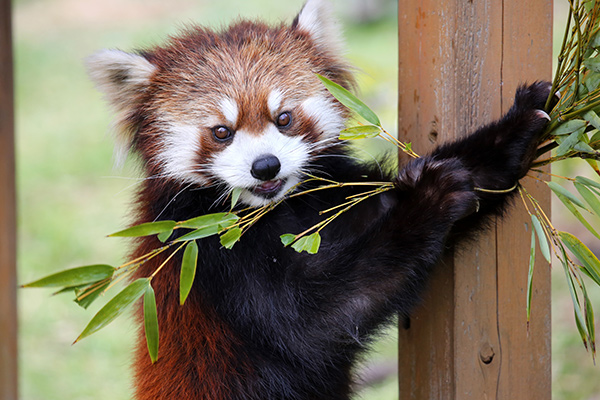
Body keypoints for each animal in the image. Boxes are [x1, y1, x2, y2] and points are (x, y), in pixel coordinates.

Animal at [85, 0, 552, 400]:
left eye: (284, 118)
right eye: (221, 132)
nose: (265, 166)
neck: (275, 208)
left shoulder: (332, 197)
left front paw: (520, 127)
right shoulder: (201, 248)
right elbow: (313, 322)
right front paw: (428, 198)